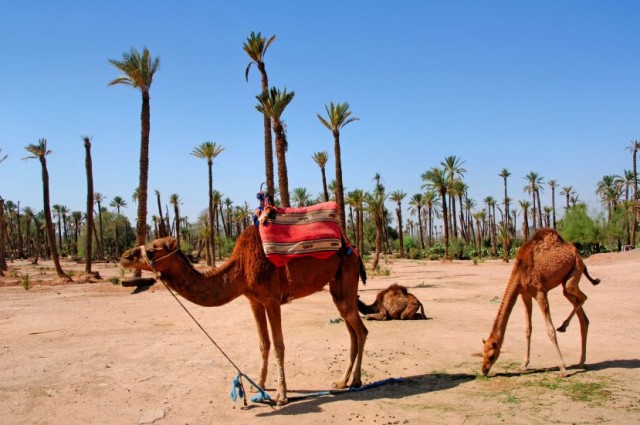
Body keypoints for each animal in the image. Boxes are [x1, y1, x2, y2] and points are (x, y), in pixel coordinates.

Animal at [120, 225, 368, 404]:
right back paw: (342, 382)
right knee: (351, 328)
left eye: (154, 247)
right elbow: (263, 344)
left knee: (361, 330)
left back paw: (356, 381)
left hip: (347, 273)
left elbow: (278, 345)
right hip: (338, 287)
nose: (125, 255)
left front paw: (281, 395)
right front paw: (257, 386)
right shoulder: (254, 301)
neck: (241, 267)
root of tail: (354, 250)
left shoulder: (271, 299)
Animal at [482, 229, 604, 374]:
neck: (520, 271)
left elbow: (550, 330)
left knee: (582, 297)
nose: (483, 370)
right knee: (582, 316)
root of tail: (575, 250)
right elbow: (528, 329)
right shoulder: (525, 294)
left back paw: (563, 327)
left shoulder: (540, 292)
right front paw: (524, 364)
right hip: (567, 281)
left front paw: (562, 369)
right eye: (482, 353)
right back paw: (581, 361)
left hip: (576, 269)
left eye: (491, 355)